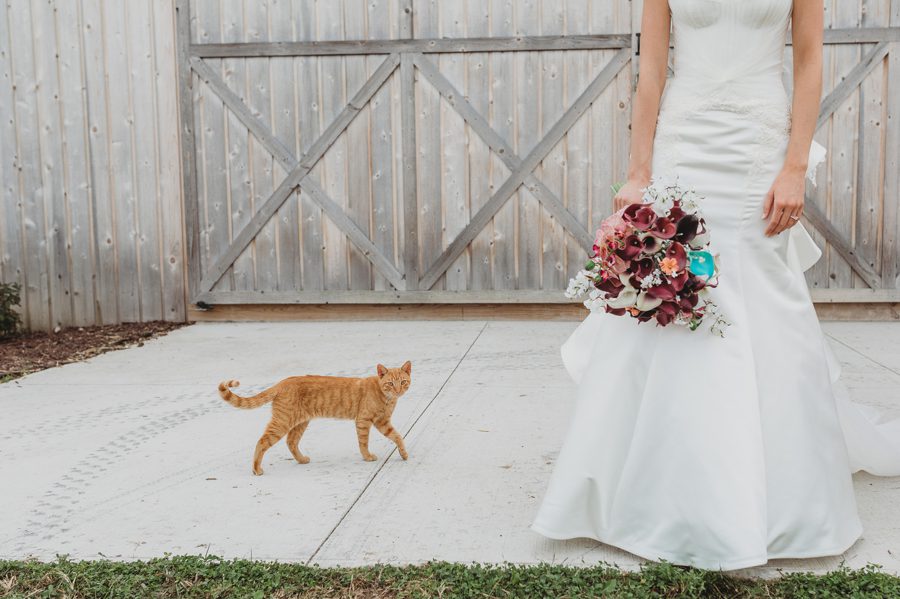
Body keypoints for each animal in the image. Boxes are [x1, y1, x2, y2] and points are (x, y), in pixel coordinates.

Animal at [220, 364, 414, 476]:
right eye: (390, 383)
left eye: (403, 382)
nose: (398, 391)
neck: (387, 398)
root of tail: (283, 382)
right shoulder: (364, 421)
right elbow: (363, 442)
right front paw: (367, 457)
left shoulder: (383, 423)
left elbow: (397, 436)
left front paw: (404, 454)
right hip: (282, 422)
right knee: (261, 442)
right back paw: (256, 469)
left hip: (300, 423)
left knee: (291, 441)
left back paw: (301, 459)